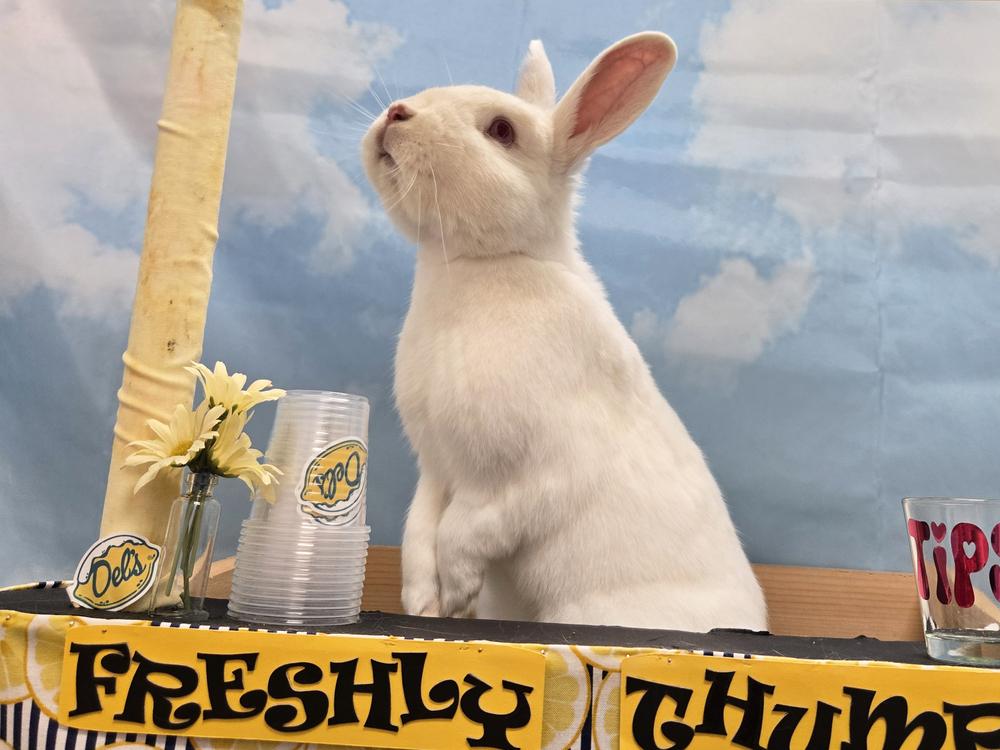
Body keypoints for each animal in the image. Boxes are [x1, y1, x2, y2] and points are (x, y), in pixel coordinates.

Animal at [360, 32, 768, 632]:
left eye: (502, 131)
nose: (396, 112)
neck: (480, 264)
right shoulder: (435, 468)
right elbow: (418, 532)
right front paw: (424, 604)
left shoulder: (534, 476)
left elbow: (467, 529)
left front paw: (457, 592)